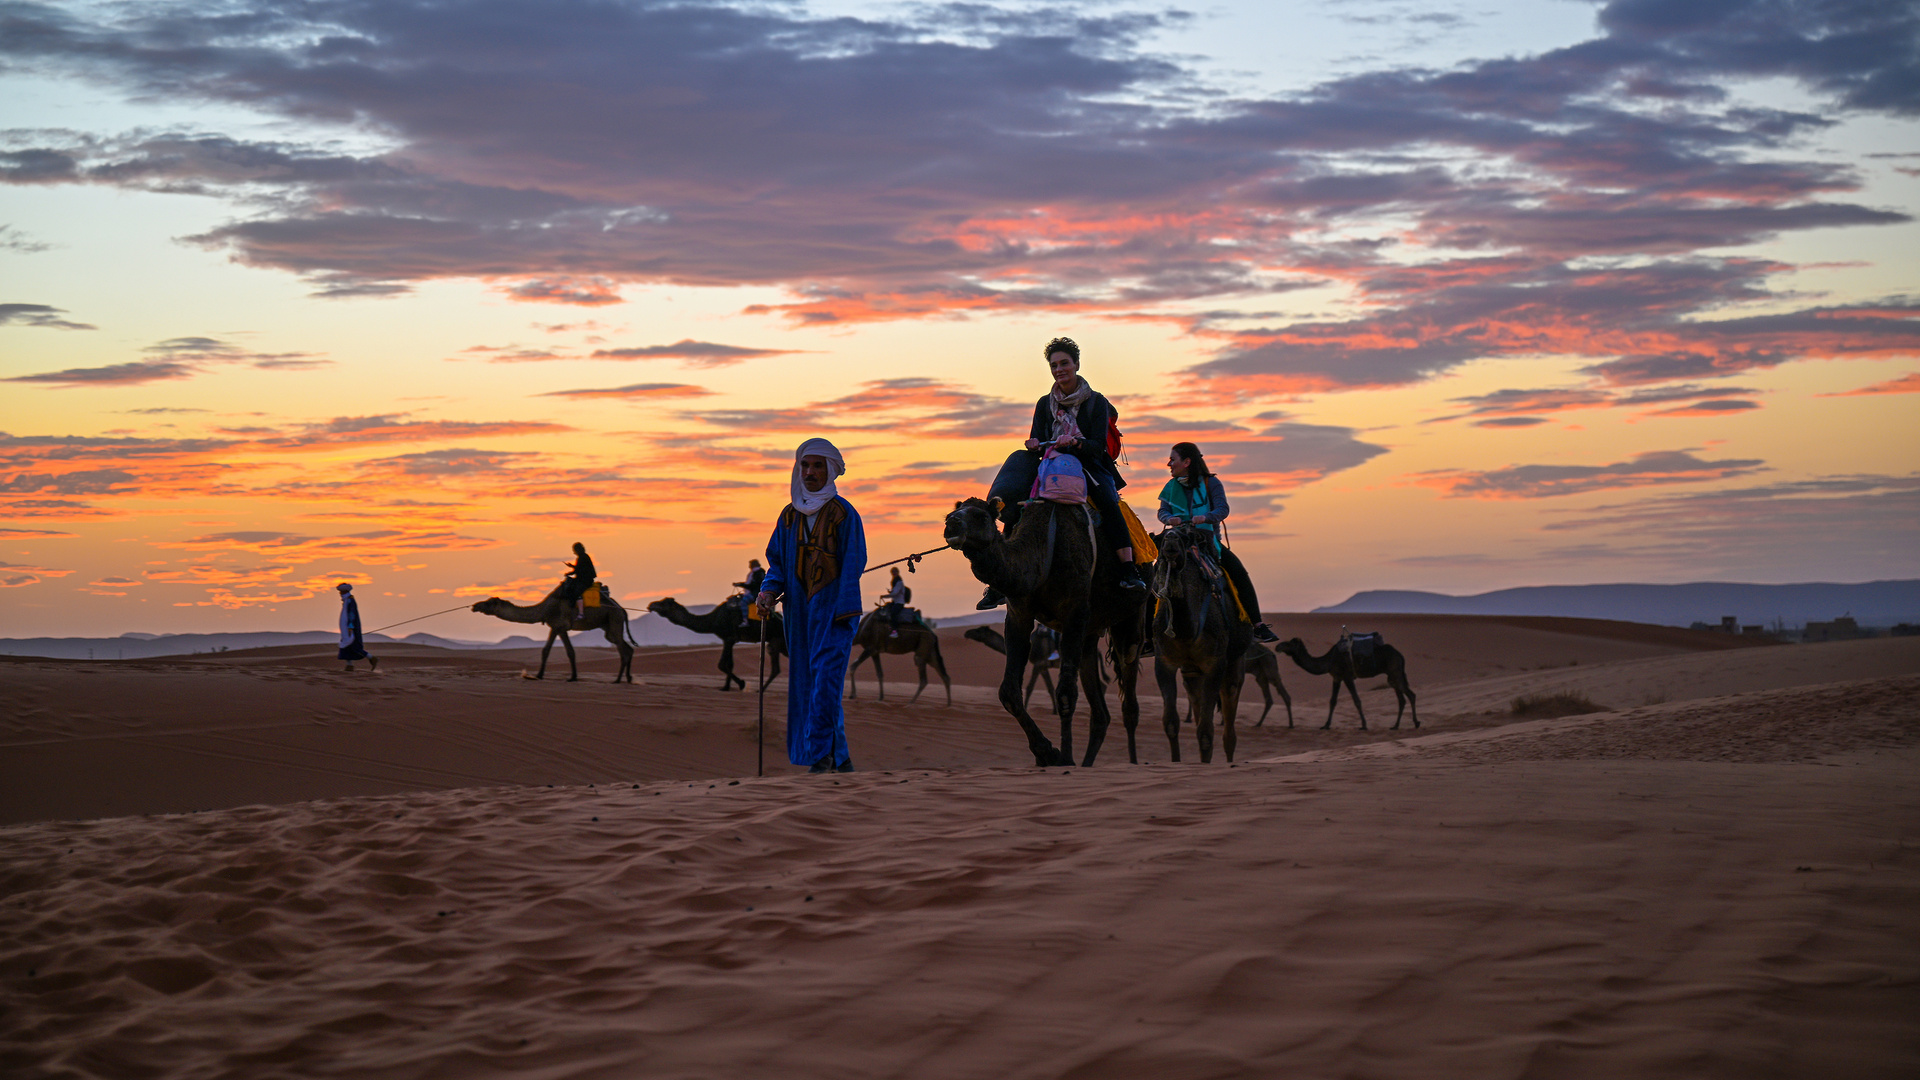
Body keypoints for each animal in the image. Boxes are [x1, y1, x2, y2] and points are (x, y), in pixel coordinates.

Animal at [472, 580, 637, 680]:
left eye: (489, 603)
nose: (475, 606)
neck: (545, 608)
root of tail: (621, 609)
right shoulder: (555, 626)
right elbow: (547, 650)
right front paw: (540, 675)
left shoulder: (560, 625)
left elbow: (568, 651)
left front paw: (571, 677)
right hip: (608, 626)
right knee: (626, 647)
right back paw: (628, 678)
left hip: (614, 619)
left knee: (623, 649)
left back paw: (618, 680)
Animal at [648, 591, 783, 684]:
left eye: (664, 603)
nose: (651, 605)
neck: (713, 620)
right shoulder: (729, 640)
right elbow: (730, 664)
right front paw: (726, 687)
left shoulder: (729, 638)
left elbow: (722, 665)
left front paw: (742, 684)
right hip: (777, 641)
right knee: (776, 667)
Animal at [940, 495, 1144, 764]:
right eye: (950, 515)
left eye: (981, 516)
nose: (951, 524)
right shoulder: (1019, 615)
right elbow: (1009, 692)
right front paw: (1046, 753)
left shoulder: (1075, 612)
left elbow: (1065, 694)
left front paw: (1062, 757)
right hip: (1091, 634)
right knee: (1101, 712)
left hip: (1131, 620)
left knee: (1129, 692)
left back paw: (1134, 762)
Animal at [1144, 522, 1251, 757]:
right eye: (1162, 539)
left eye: (1184, 538)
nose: (1171, 540)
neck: (1187, 631)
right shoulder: (1164, 662)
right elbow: (1171, 723)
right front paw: (1176, 760)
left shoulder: (1215, 664)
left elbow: (1206, 730)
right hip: (1191, 673)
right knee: (1194, 694)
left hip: (1234, 662)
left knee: (1229, 724)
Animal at [1282, 634, 1420, 726]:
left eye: (1290, 644)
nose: (1279, 646)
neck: (1329, 660)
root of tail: (1400, 655)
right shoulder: (1336, 677)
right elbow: (1332, 701)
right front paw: (1326, 725)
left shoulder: (1347, 677)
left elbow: (1357, 700)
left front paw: (1364, 725)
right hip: (1393, 675)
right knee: (1402, 698)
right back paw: (1396, 726)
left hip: (1395, 671)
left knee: (1410, 695)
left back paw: (1415, 723)